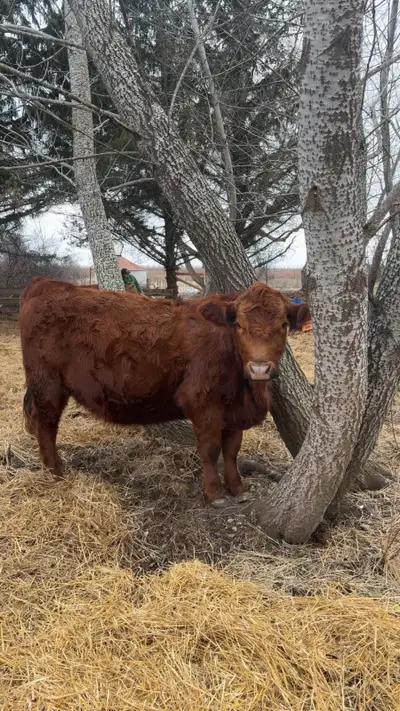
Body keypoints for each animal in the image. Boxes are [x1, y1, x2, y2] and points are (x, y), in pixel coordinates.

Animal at [19, 277, 310, 506]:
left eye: (284, 325)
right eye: (238, 324)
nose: (259, 368)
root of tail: (46, 283)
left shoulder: (234, 410)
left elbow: (231, 450)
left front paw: (238, 488)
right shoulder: (201, 401)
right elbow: (210, 449)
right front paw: (215, 493)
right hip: (47, 384)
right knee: (46, 426)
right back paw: (56, 471)